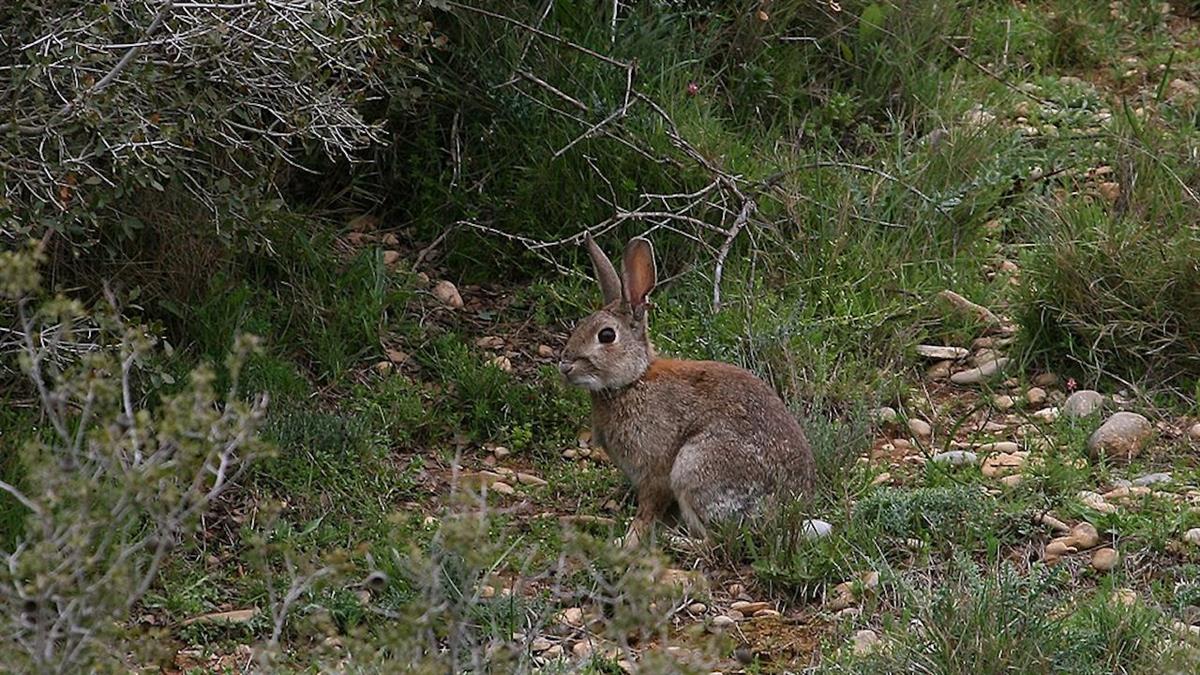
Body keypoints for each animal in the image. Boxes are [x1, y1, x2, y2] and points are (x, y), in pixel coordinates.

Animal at [559, 233, 816, 547]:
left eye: (606, 335)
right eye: (579, 325)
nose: (565, 366)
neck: (633, 380)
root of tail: (785, 515)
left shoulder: (654, 471)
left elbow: (647, 511)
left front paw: (626, 541)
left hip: (695, 467)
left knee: (719, 541)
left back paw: (676, 541)